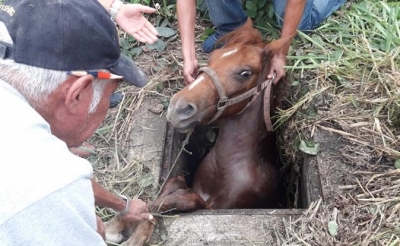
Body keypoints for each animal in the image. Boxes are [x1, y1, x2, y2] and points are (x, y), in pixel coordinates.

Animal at [148, 18, 290, 212]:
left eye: (245, 73)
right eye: (212, 57)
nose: (178, 107)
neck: (223, 168)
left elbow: (190, 199)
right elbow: (177, 180)